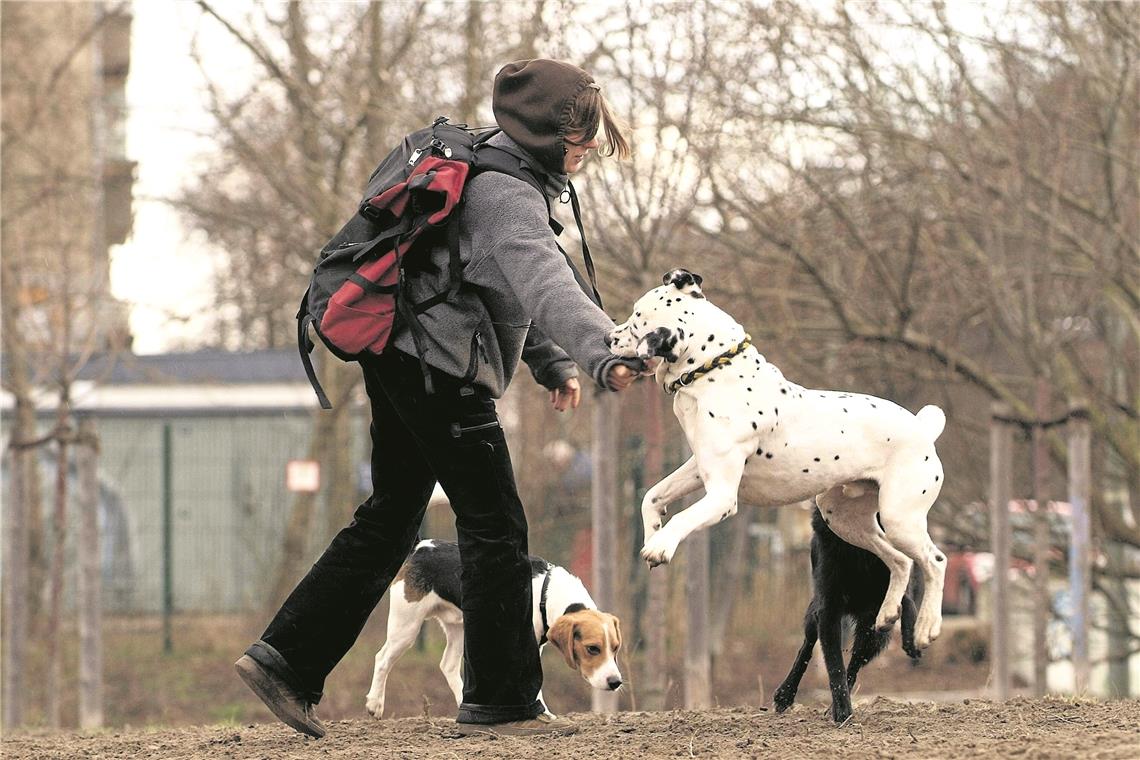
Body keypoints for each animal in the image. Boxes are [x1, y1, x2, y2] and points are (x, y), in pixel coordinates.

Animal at [364, 540, 624, 720]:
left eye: (615, 649)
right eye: (592, 649)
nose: (615, 682)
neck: (546, 592)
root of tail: (421, 547)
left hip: (459, 628)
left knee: (447, 665)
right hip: (406, 626)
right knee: (382, 658)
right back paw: (375, 704)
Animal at [611, 270, 948, 651]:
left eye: (636, 321)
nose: (608, 337)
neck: (713, 372)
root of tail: (923, 429)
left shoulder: (722, 496)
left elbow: (683, 517)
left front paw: (662, 545)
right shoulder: (699, 469)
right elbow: (652, 496)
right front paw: (654, 531)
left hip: (899, 519)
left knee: (935, 562)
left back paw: (926, 626)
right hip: (845, 519)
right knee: (901, 560)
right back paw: (888, 612)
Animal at [775, 499, 925, 724]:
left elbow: (906, 603)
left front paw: (911, 636)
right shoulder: (828, 609)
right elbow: (835, 665)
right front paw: (842, 710)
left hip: (870, 635)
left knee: (855, 664)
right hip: (815, 615)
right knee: (806, 648)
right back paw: (785, 694)